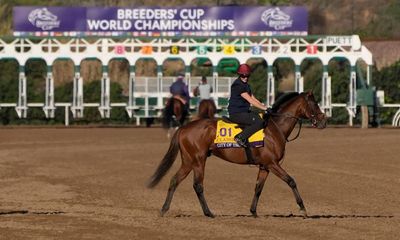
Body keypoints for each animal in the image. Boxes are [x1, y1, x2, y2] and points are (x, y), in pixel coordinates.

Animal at [148, 91, 326, 218]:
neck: (276, 127)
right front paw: (302, 208)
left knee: (174, 180)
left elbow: (258, 188)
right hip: (198, 160)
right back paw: (208, 213)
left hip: (188, 161)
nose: (324, 121)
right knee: (198, 185)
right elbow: (291, 181)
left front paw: (253, 211)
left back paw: (164, 209)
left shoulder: (264, 166)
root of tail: (184, 128)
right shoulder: (272, 164)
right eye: (314, 104)